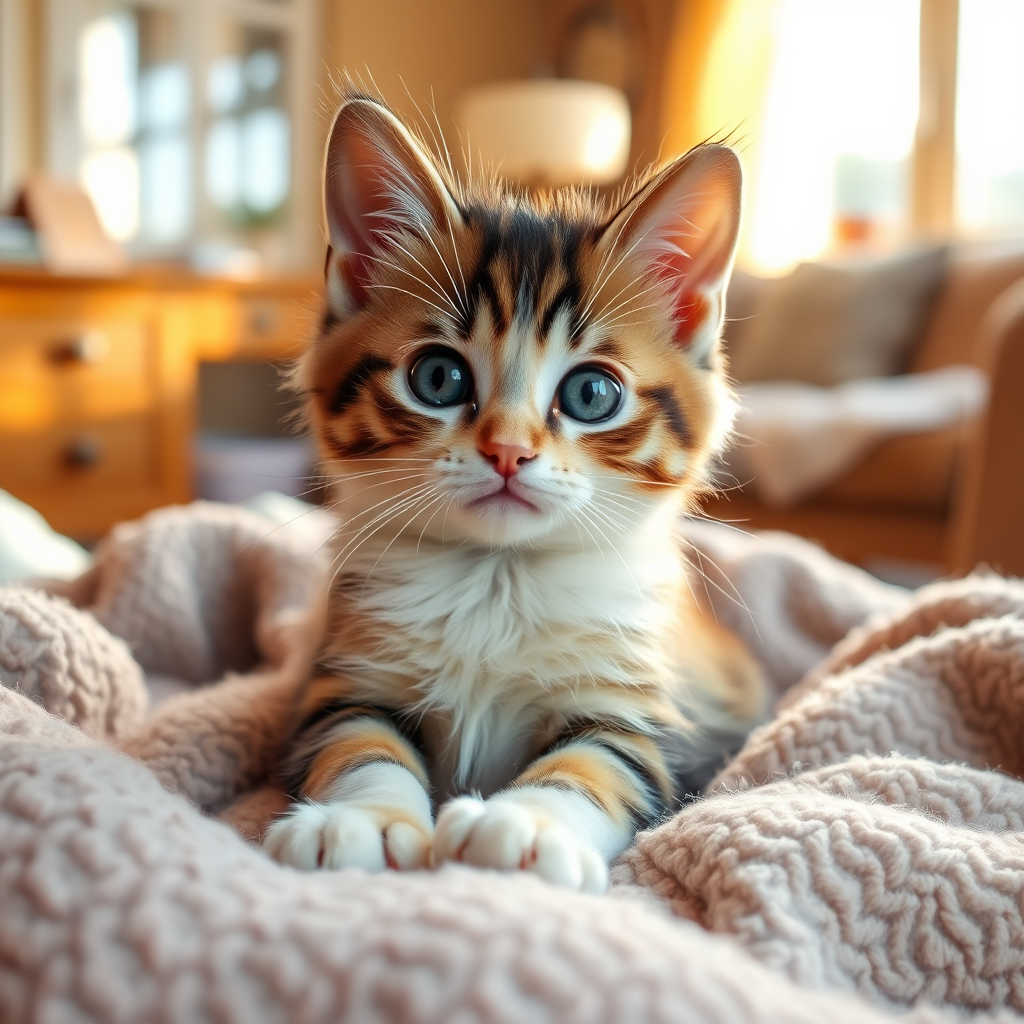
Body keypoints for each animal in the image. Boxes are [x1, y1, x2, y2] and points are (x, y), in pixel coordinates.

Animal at [264, 90, 770, 888]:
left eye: (592, 393)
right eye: (438, 378)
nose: (508, 451)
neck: (496, 580)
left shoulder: (639, 715)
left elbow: (593, 766)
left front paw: (526, 827)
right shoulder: (343, 679)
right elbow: (358, 744)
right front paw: (363, 818)